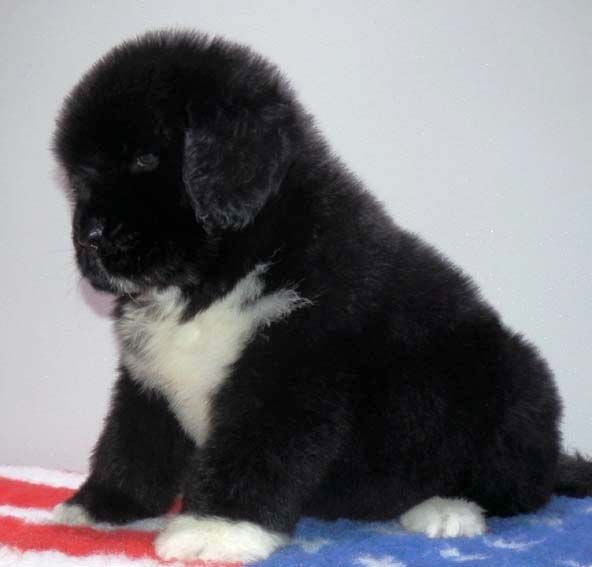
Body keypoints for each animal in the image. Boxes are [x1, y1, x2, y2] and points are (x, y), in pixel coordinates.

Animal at [52, 30, 592, 563]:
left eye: (144, 158)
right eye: (80, 177)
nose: (89, 236)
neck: (217, 274)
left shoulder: (291, 368)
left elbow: (252, 449)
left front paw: (216, 529)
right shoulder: (148, 374)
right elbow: (131, 441)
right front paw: (97, 507)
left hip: (513, 389)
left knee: (517, 488)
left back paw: (445, 509)